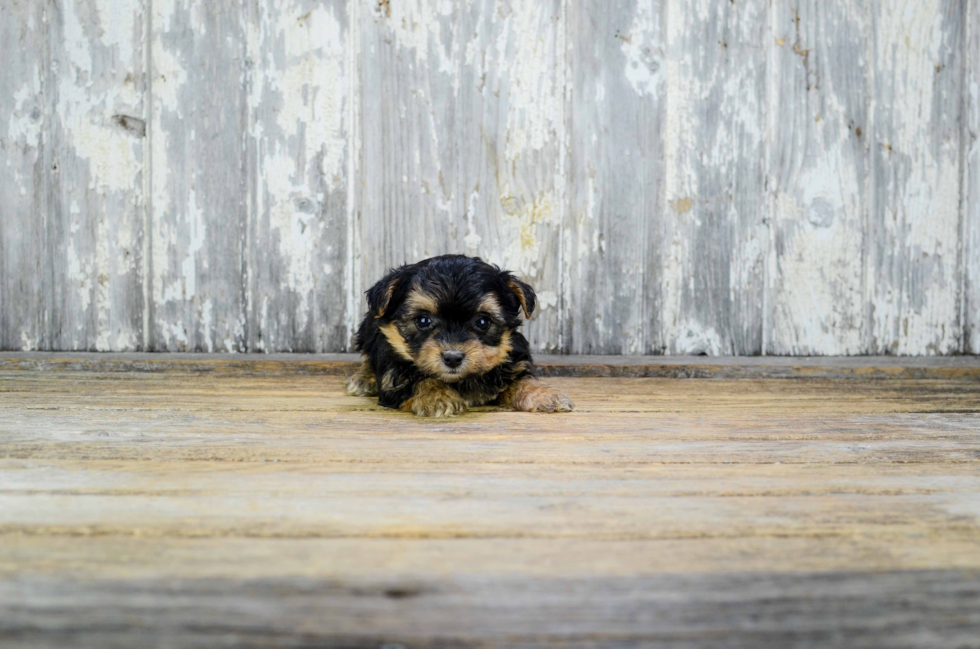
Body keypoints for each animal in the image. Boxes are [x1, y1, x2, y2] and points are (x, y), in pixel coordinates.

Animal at [346, 253, 572, 416]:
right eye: (423, 321)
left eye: (482, 322)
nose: (452, 358)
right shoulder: (393, 380)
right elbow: (418, 379)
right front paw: (437, 396)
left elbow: (522, 379)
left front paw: (545, 395)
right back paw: (364, 379)